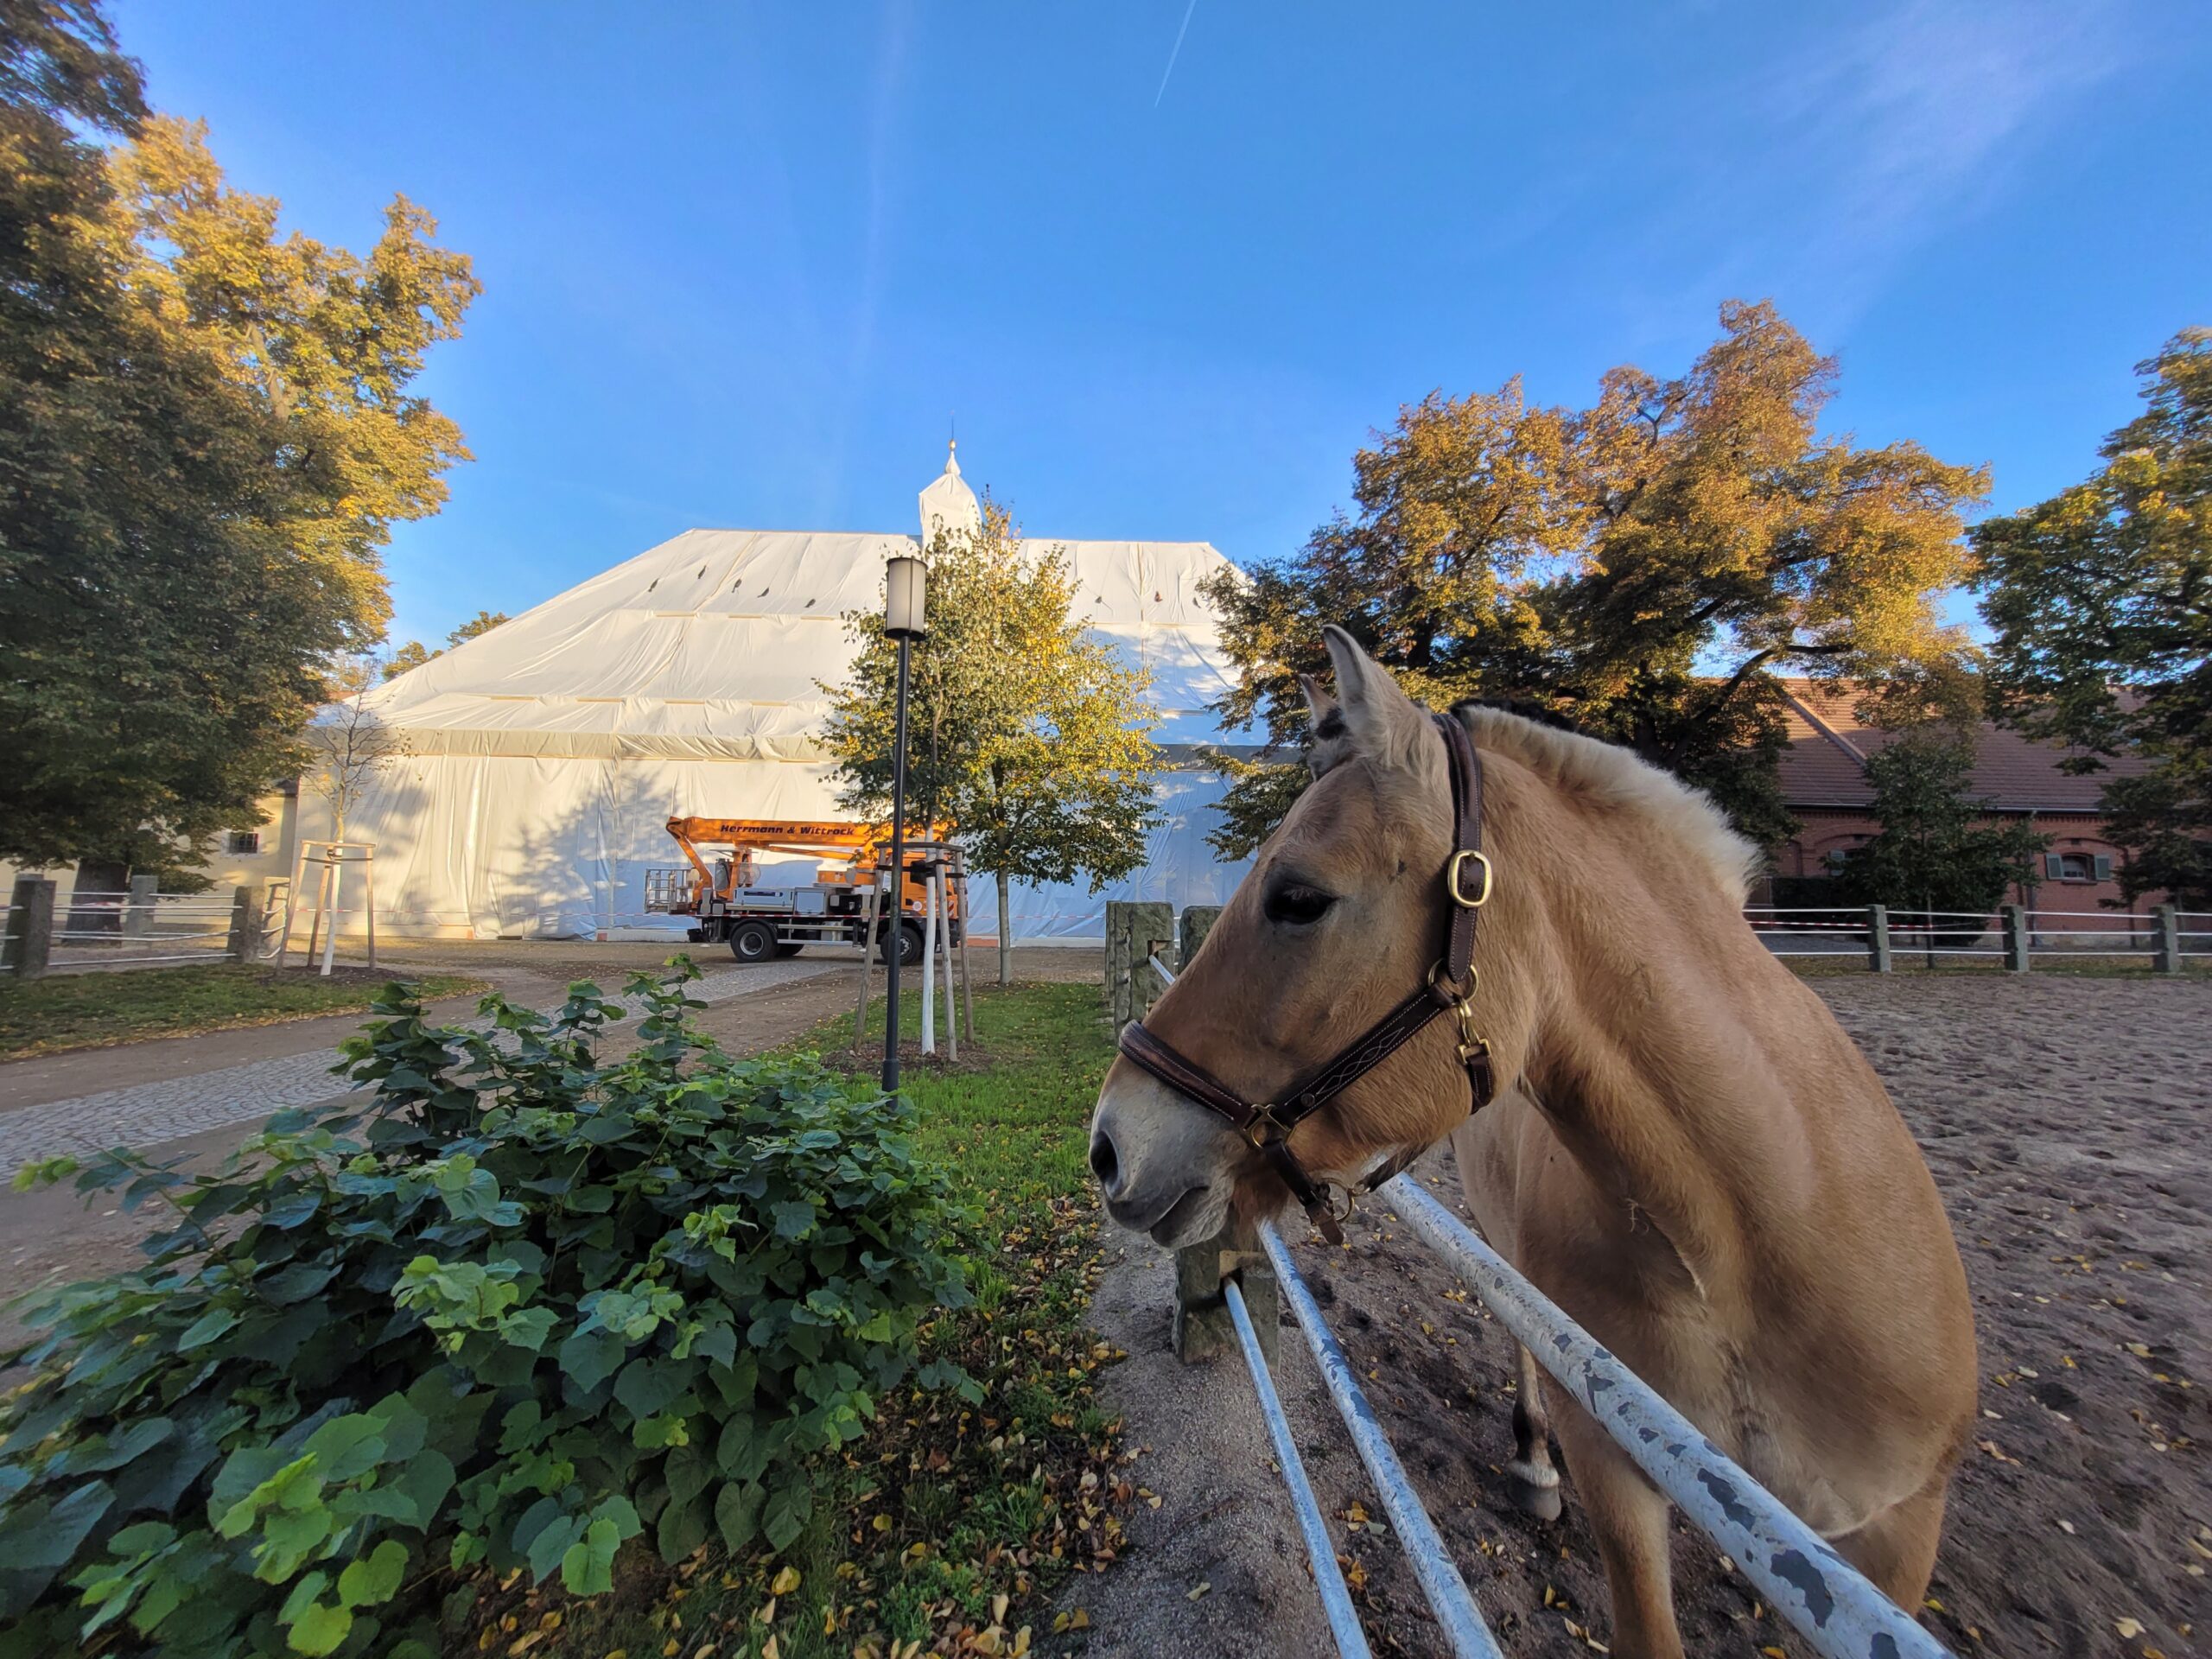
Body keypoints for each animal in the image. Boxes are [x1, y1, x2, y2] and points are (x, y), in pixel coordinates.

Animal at [1089, 627, 1976, 1659]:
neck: (1766, 1236)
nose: (1110, 1146)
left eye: (1298, 898)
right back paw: (1531, 1460)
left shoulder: (1898, 1540)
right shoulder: (1620, 1469)